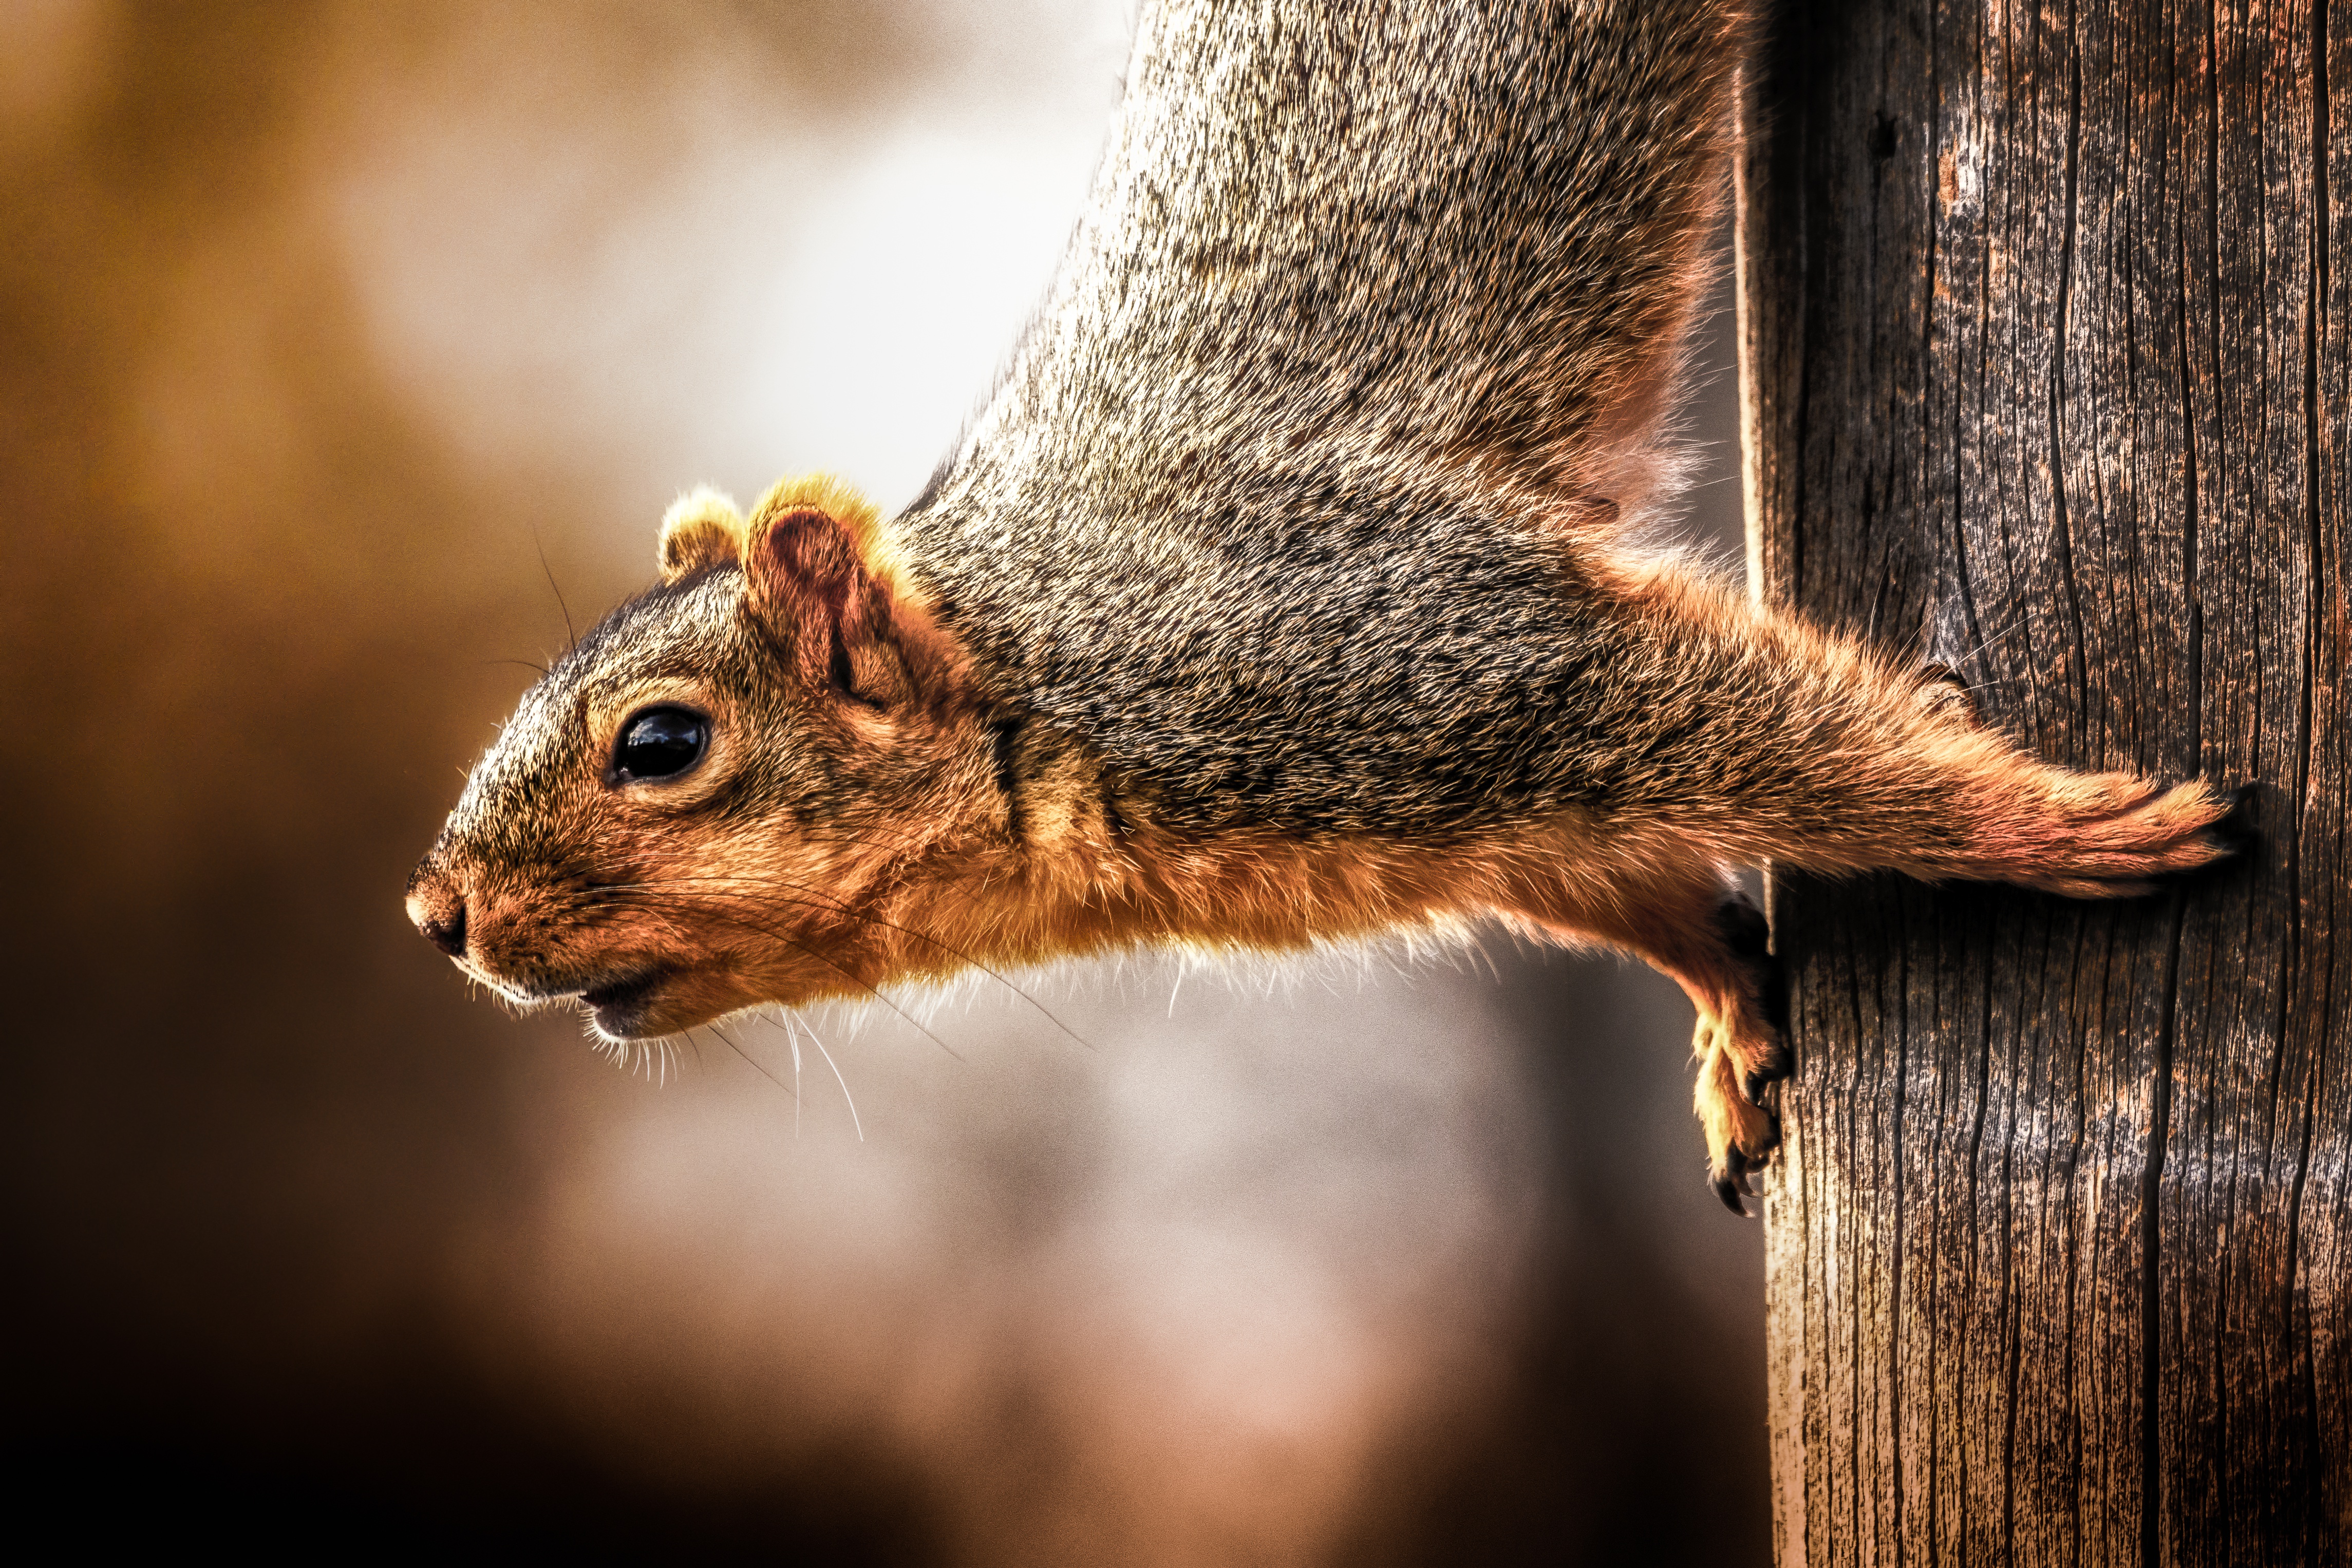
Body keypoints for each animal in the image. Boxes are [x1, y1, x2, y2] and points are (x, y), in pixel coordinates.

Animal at [404, 0, 2239, 1213]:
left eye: (660, 743)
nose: (437, 917)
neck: (1036, 670)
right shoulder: (1469, 814)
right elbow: (1627, 884)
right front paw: (1730, 1011)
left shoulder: (1405, 653)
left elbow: (1776, 728)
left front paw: (2059, 825)